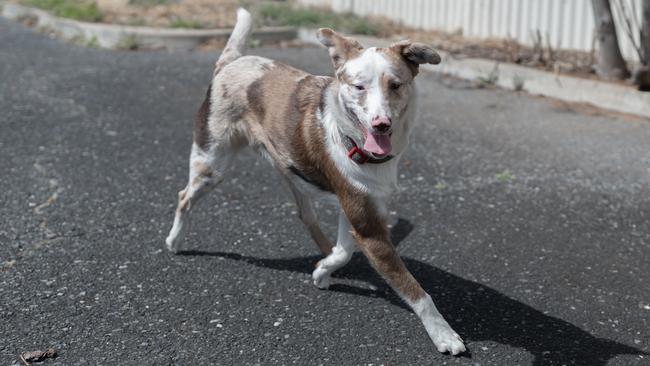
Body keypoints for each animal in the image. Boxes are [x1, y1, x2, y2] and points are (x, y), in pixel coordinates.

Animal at [165, 8, 464, 356]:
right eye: (359, 87)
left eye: (396, 85)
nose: (381, 124)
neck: (353, 140)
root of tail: (231, 62)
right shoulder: (368, 227)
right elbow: (417, 292)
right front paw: (444, 335)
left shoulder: (358, 210)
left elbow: (345, 250)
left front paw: (323, 270)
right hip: (212, 164)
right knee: (184, 196)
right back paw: (174, 241)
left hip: (291, 170)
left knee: (305, 214)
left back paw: (323, 251)